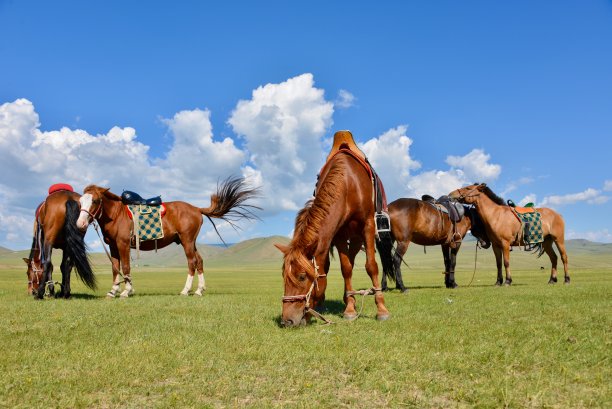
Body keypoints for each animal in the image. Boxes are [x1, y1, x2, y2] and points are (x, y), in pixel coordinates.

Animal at [76, 176, 258, 296]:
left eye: (95, 201)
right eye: (80, 202)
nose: (80, 223)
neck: (117, 214)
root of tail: (196, 209)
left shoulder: (123, 244)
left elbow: (126, 267)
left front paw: (126, 291)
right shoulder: (113, 246)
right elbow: (115, 268)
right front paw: (113, 291)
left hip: (186, 241)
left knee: (192, 262)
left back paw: (185, 290)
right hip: (191, 242)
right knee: (199, 261)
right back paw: (199, 290)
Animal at [274, 145, 394, 326]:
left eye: (302, 277)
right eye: (283, 276)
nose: (287, 321)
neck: (349, 183)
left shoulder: (368, 226)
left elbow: (371, 266)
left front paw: (381, 309)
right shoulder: (339, 234)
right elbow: (346, 269)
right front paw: (350, 308)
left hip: (358, 237)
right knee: (344, 264)